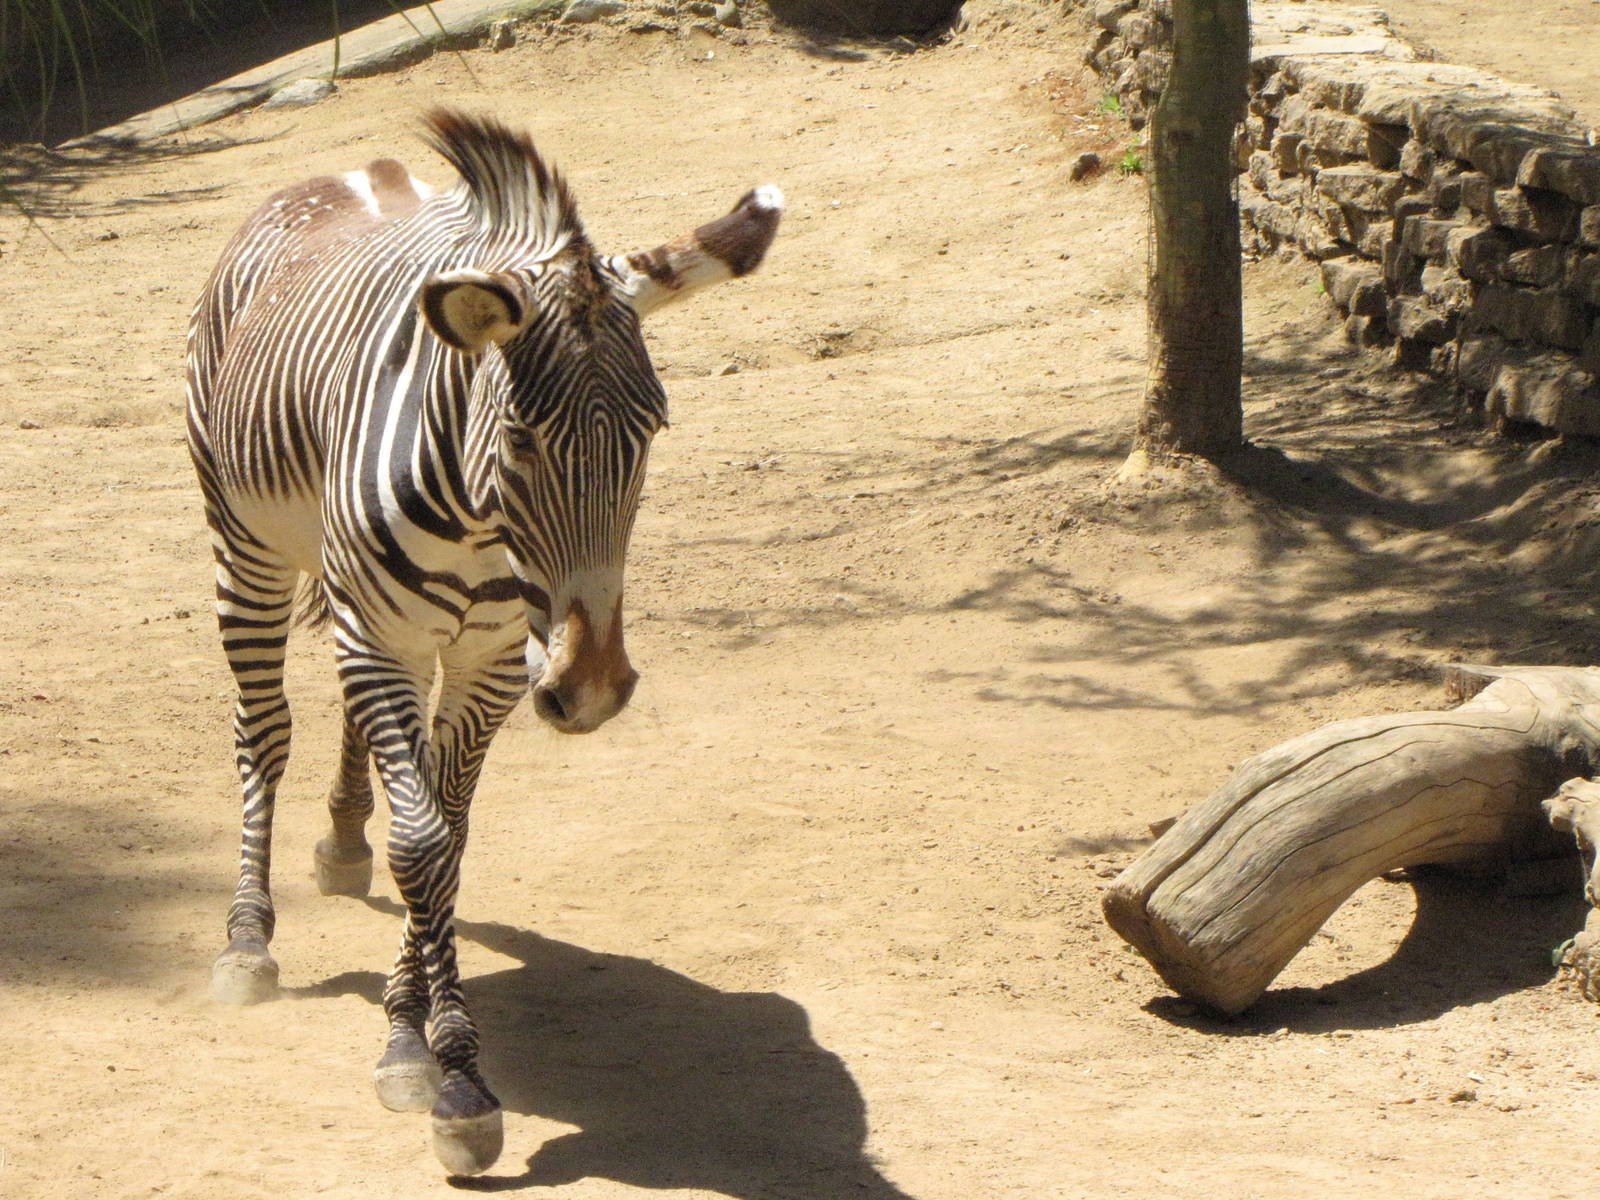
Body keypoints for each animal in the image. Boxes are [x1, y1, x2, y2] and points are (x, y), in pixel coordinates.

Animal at [186, 109, 782, 1175]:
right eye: (521, 438)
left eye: (653, 432)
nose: (593, 688)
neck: (475, 520)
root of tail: (358, 172)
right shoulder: (382, 636)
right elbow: (424, 840)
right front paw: (450, 1075)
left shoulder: (493, 663)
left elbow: (447, 836)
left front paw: (412, 1024)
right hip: (243, 545)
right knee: (264, 732)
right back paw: (248, 940)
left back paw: (342, 841)